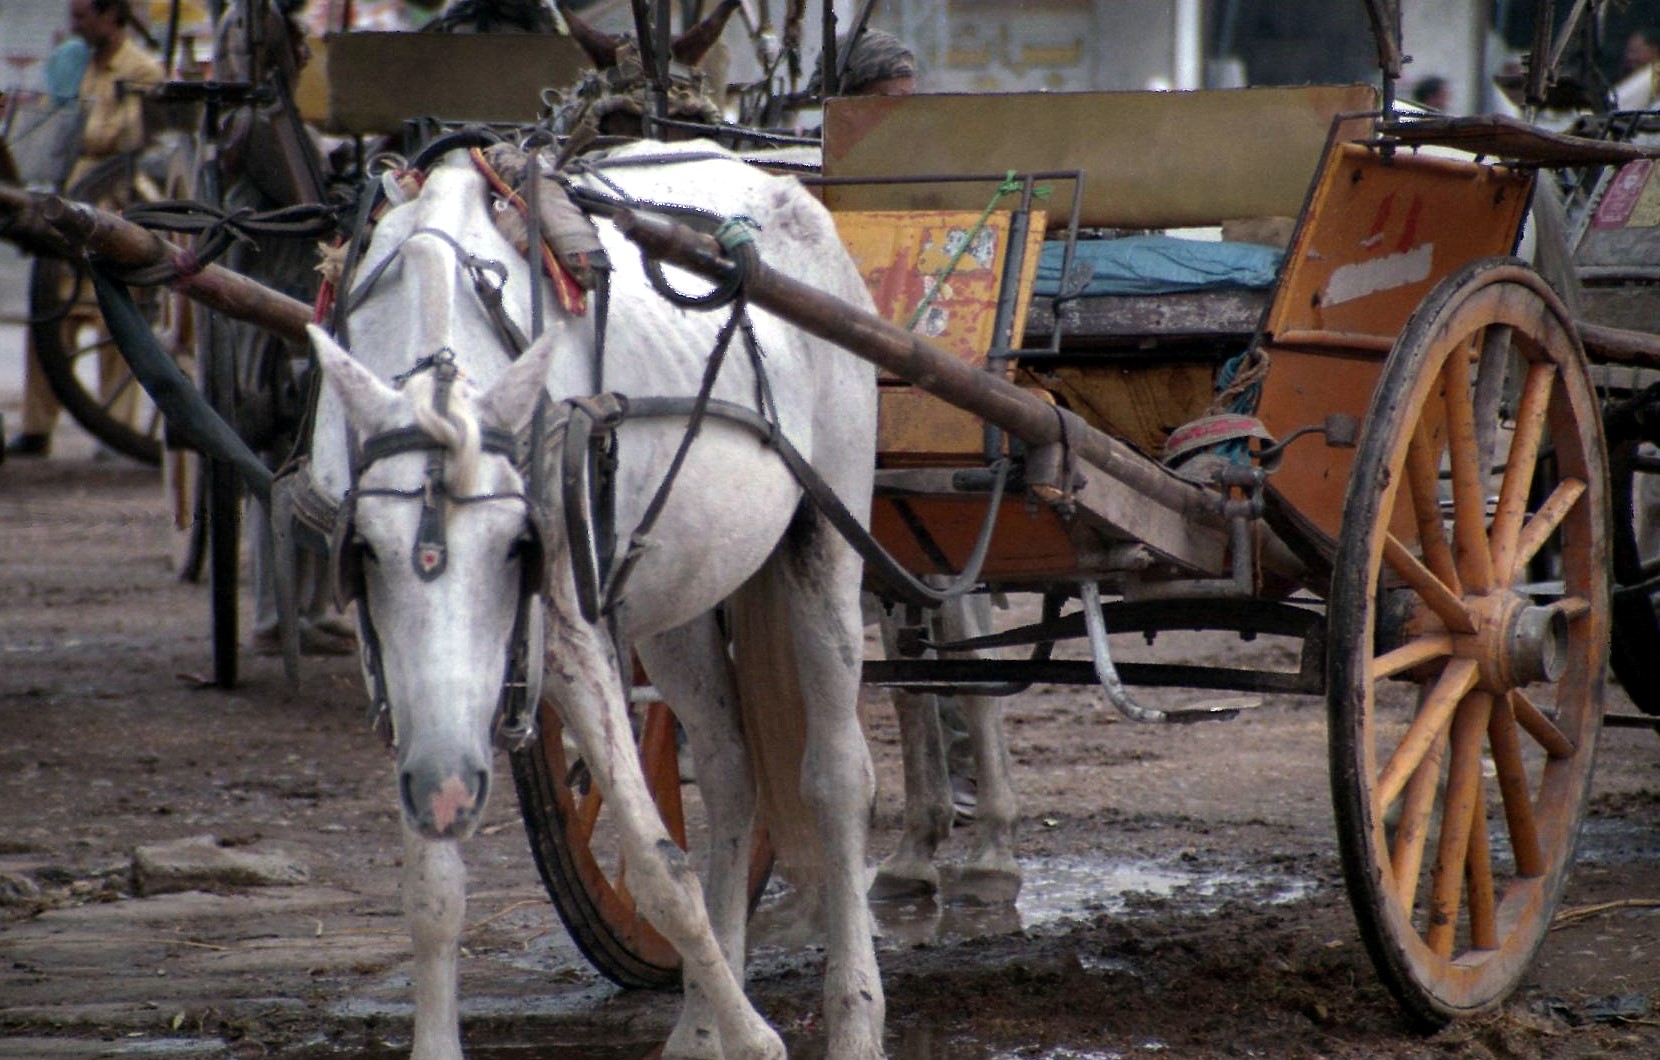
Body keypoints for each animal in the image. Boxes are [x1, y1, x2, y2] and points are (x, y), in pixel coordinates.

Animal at [305, 142, 889, 1060]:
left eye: (521, 549)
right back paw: (697, 1027)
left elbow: (659, 865)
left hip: (826, 538)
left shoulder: (568, 629)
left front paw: (757, 1039)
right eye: (362, 552)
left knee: (836, 778)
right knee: (729, 770)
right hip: (676, 591)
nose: (448, 784)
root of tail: (783, 181)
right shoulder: (394, 666)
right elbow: (432, 887)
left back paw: (854, 1017)